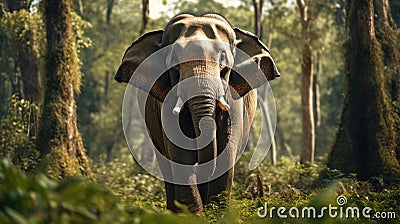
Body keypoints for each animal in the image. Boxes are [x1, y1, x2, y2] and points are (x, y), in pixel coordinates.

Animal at [114, 13, 280, 214]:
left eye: (223, 57)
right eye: (174, 59)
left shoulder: (234, 104)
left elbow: (225, 155)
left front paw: (216, 213)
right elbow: (181, 155)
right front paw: (194, 215)